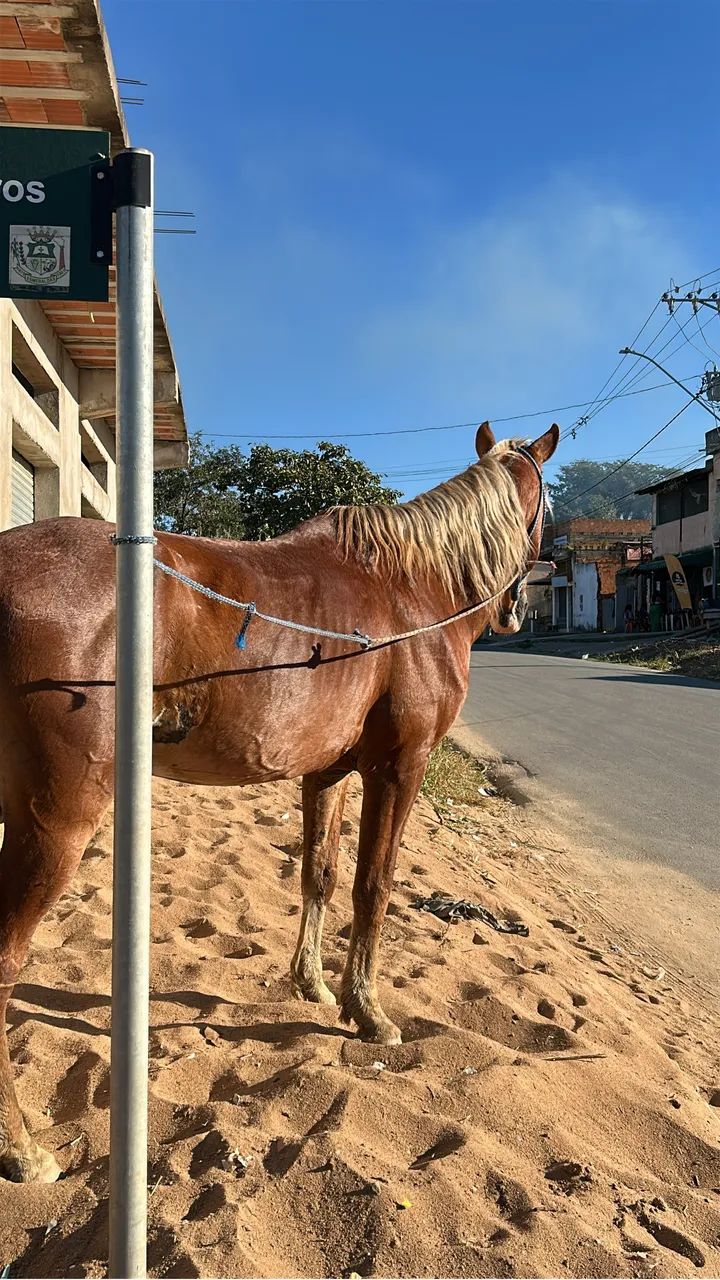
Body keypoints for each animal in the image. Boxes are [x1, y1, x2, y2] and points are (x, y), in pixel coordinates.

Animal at [0, 420, 558, 1182]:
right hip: (54, 820)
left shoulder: (328, 772)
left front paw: (315, 986)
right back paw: (23, 1150)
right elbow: (374, 884)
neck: (410, 590)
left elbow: (320, 874)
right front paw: (369, 1011)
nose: (517, 609)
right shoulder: (399, 768)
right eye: (546, 508)